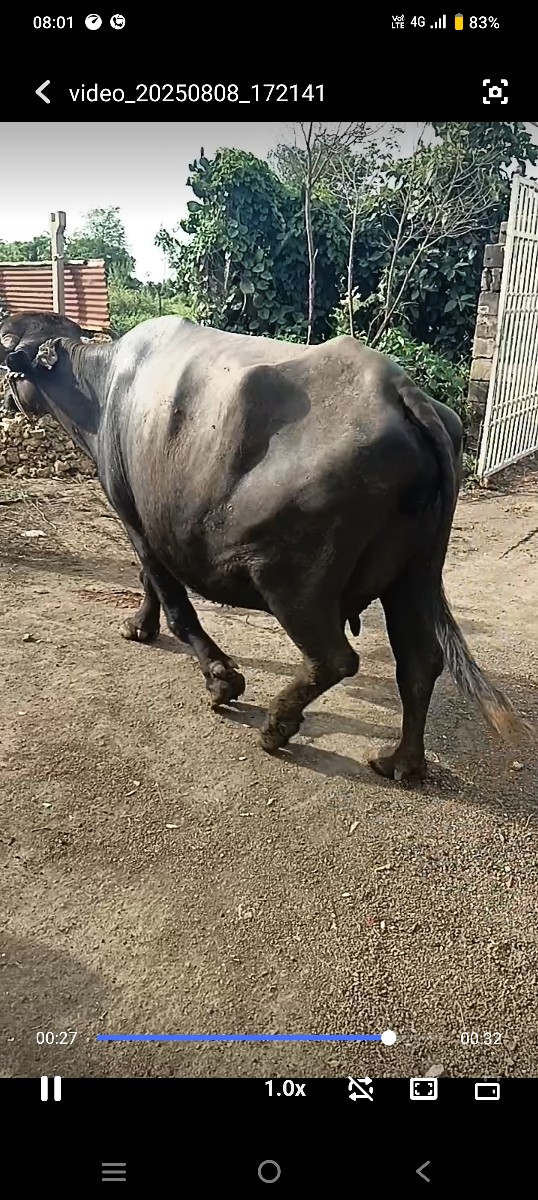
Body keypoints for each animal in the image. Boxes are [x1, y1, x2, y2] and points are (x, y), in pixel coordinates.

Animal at [4, 313, 525, 782]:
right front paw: (139, 626)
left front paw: (221, 679)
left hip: (291, 578)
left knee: (335, 658)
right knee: (420, 663)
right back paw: (401, 762)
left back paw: (277, 726)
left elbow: (174, 602)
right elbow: (149, 581)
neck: (103, 389)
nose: (13, 399)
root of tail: (402, 392)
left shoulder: (135, 518)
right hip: (415, 573)